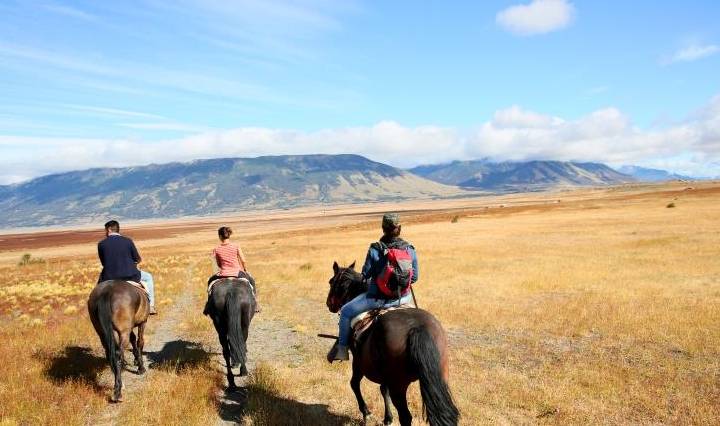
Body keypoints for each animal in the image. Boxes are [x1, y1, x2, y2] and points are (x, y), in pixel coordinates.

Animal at [324, 262, 458, 426]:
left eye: (331, 281)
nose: (329, 303)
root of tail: (417, 328)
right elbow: (383, 389)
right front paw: (387, 418)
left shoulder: (358, 361)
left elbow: (354, 383)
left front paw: (367, 413)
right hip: (439, 377)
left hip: (398, 386)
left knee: (405, 417)